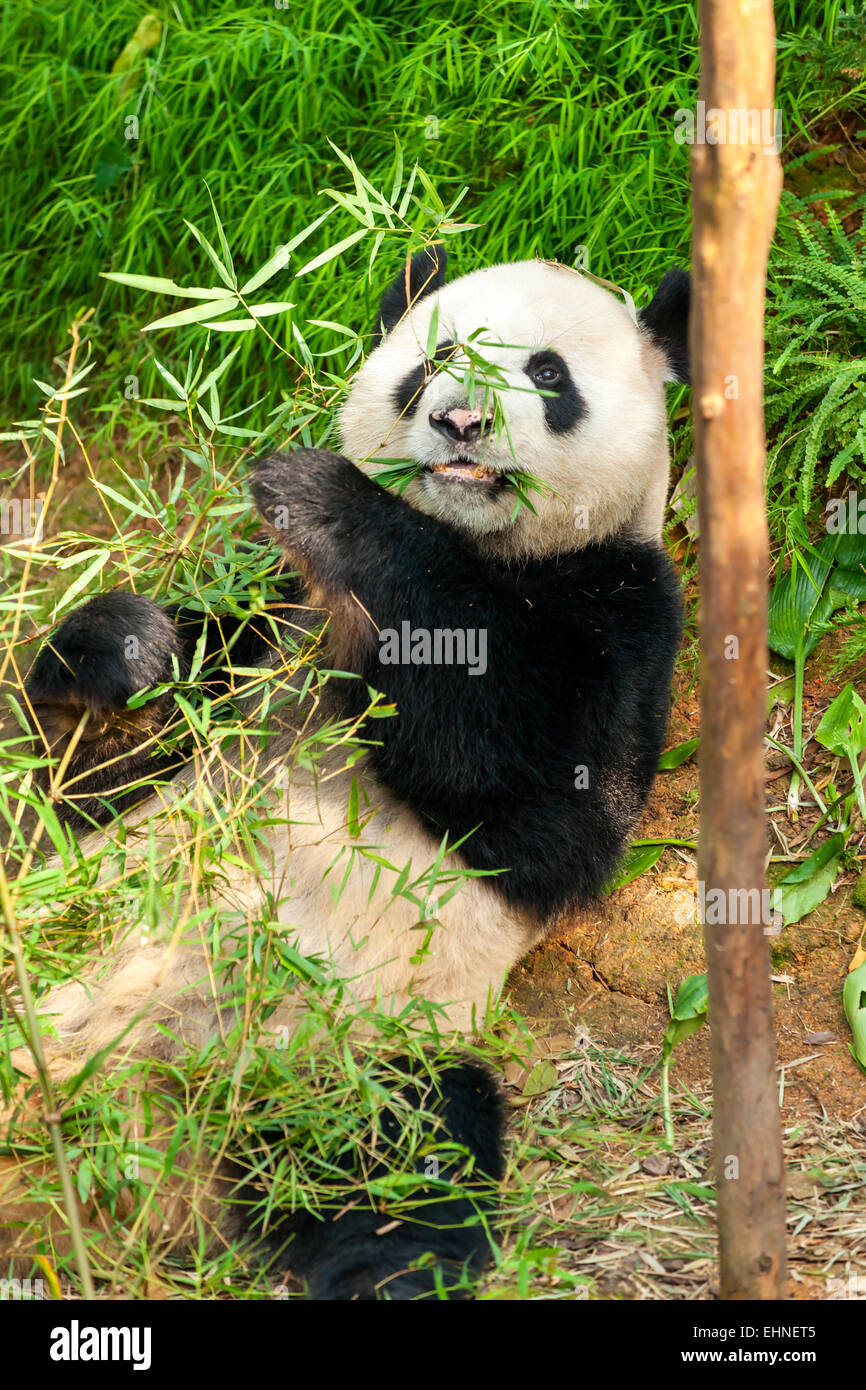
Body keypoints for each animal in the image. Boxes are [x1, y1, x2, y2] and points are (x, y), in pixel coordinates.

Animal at [1, 250, 692, 1301]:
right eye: (437, 355)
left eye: (547, 374)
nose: (461, 422)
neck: (482, 548)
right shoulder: (272, 604)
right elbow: (93, 777)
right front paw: (126, 656)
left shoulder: (626, 609)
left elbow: (545, 812)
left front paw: (331, 501)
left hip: (342, 1056)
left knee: (399, 1157)